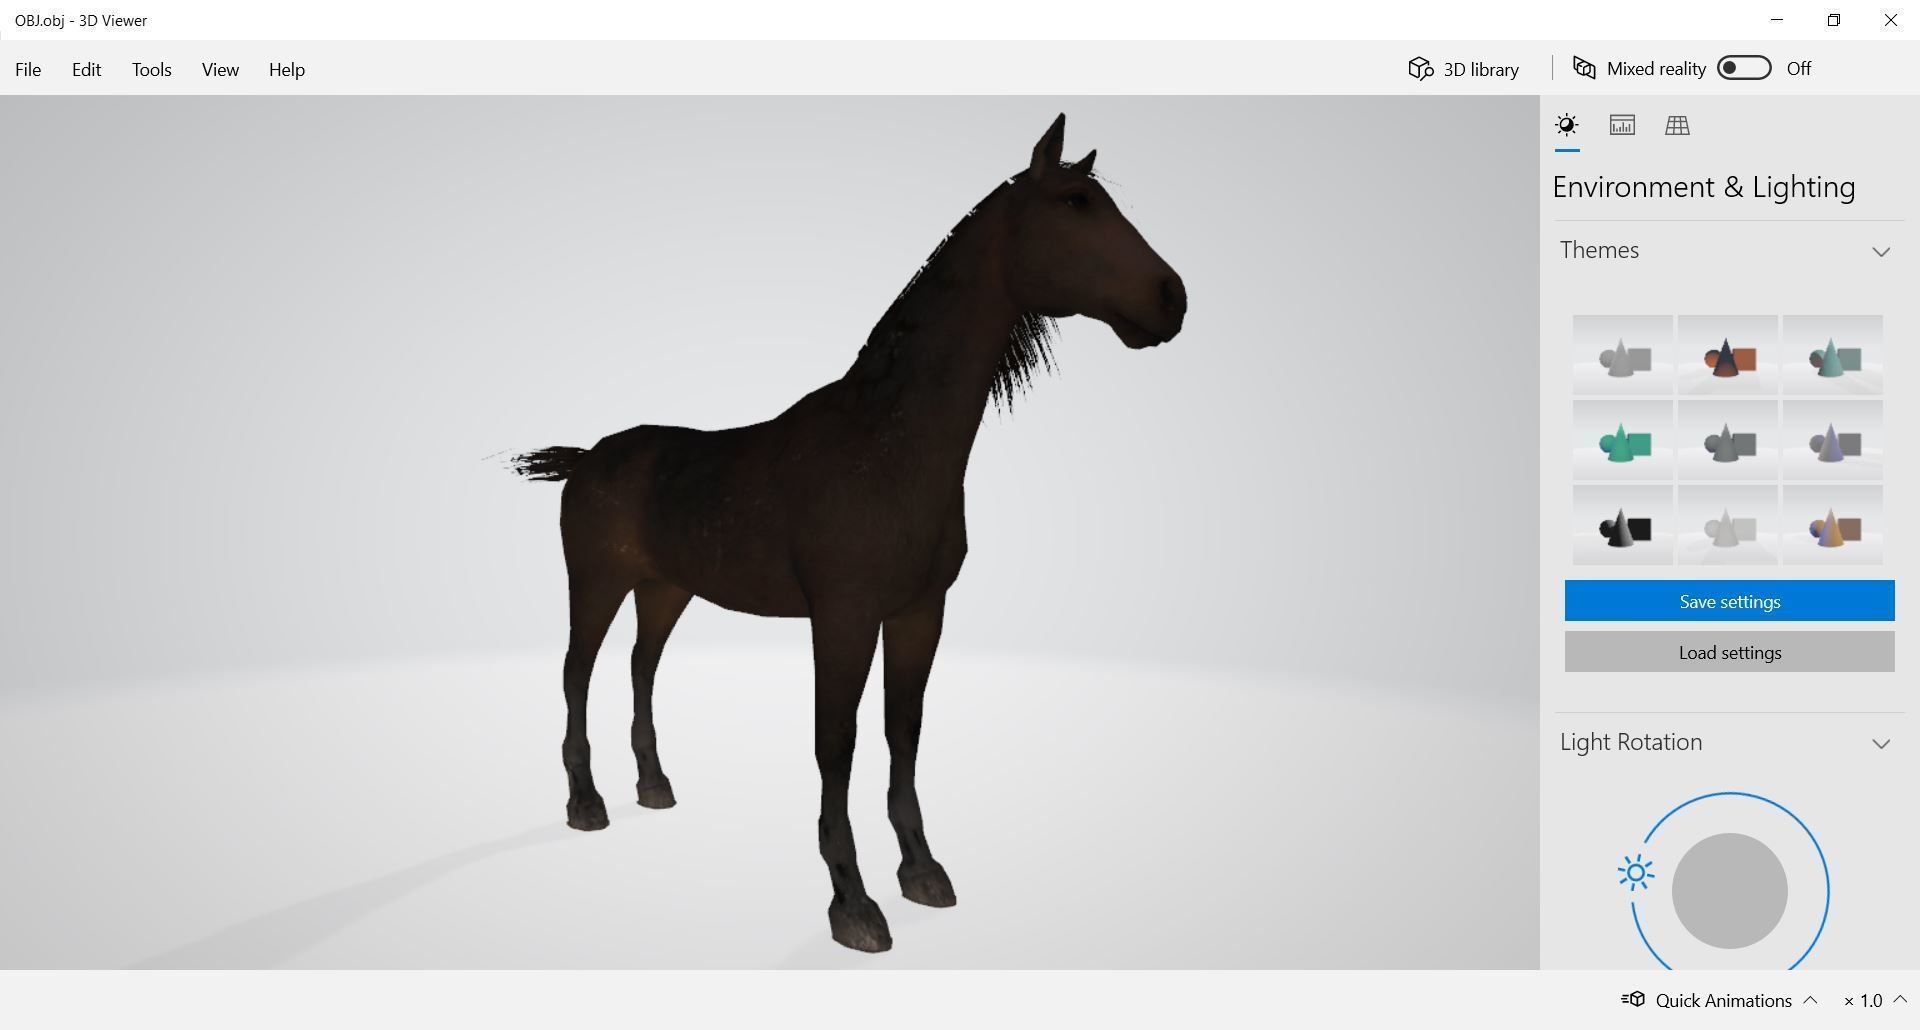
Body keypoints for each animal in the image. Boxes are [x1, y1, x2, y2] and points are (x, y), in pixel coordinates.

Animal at [511, 114, 1186, 953]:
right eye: (1074, 203)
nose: (1172, 298)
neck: (885, 444)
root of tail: (589, 456)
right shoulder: (843, 619)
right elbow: (837, 743)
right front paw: (852, 903)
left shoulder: (919, 612)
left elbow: (904, 732)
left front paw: (922, 871)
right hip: (597, 583)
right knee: (578, 674)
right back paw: (586, 803)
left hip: (665, 590)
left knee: (642, 669)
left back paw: (655, 786)